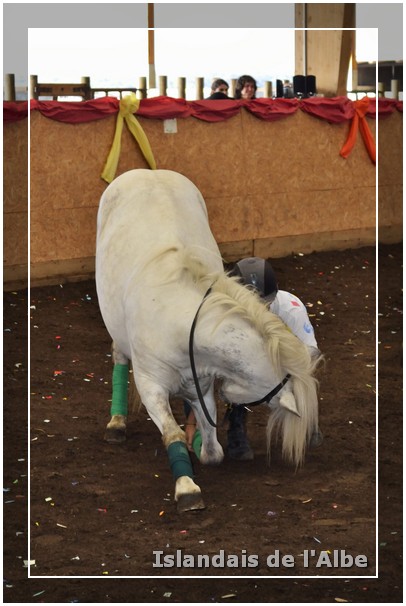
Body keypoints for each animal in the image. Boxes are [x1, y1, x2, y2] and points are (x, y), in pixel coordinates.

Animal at [96, 170, 320, 512]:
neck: (178, 318)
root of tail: (148, 171)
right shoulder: (151, 385)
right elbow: (172, 433)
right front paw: (187, 488)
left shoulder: (200, 380)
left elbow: (213, 448)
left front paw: (203, 443)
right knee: (118, 355)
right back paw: (117, 422)